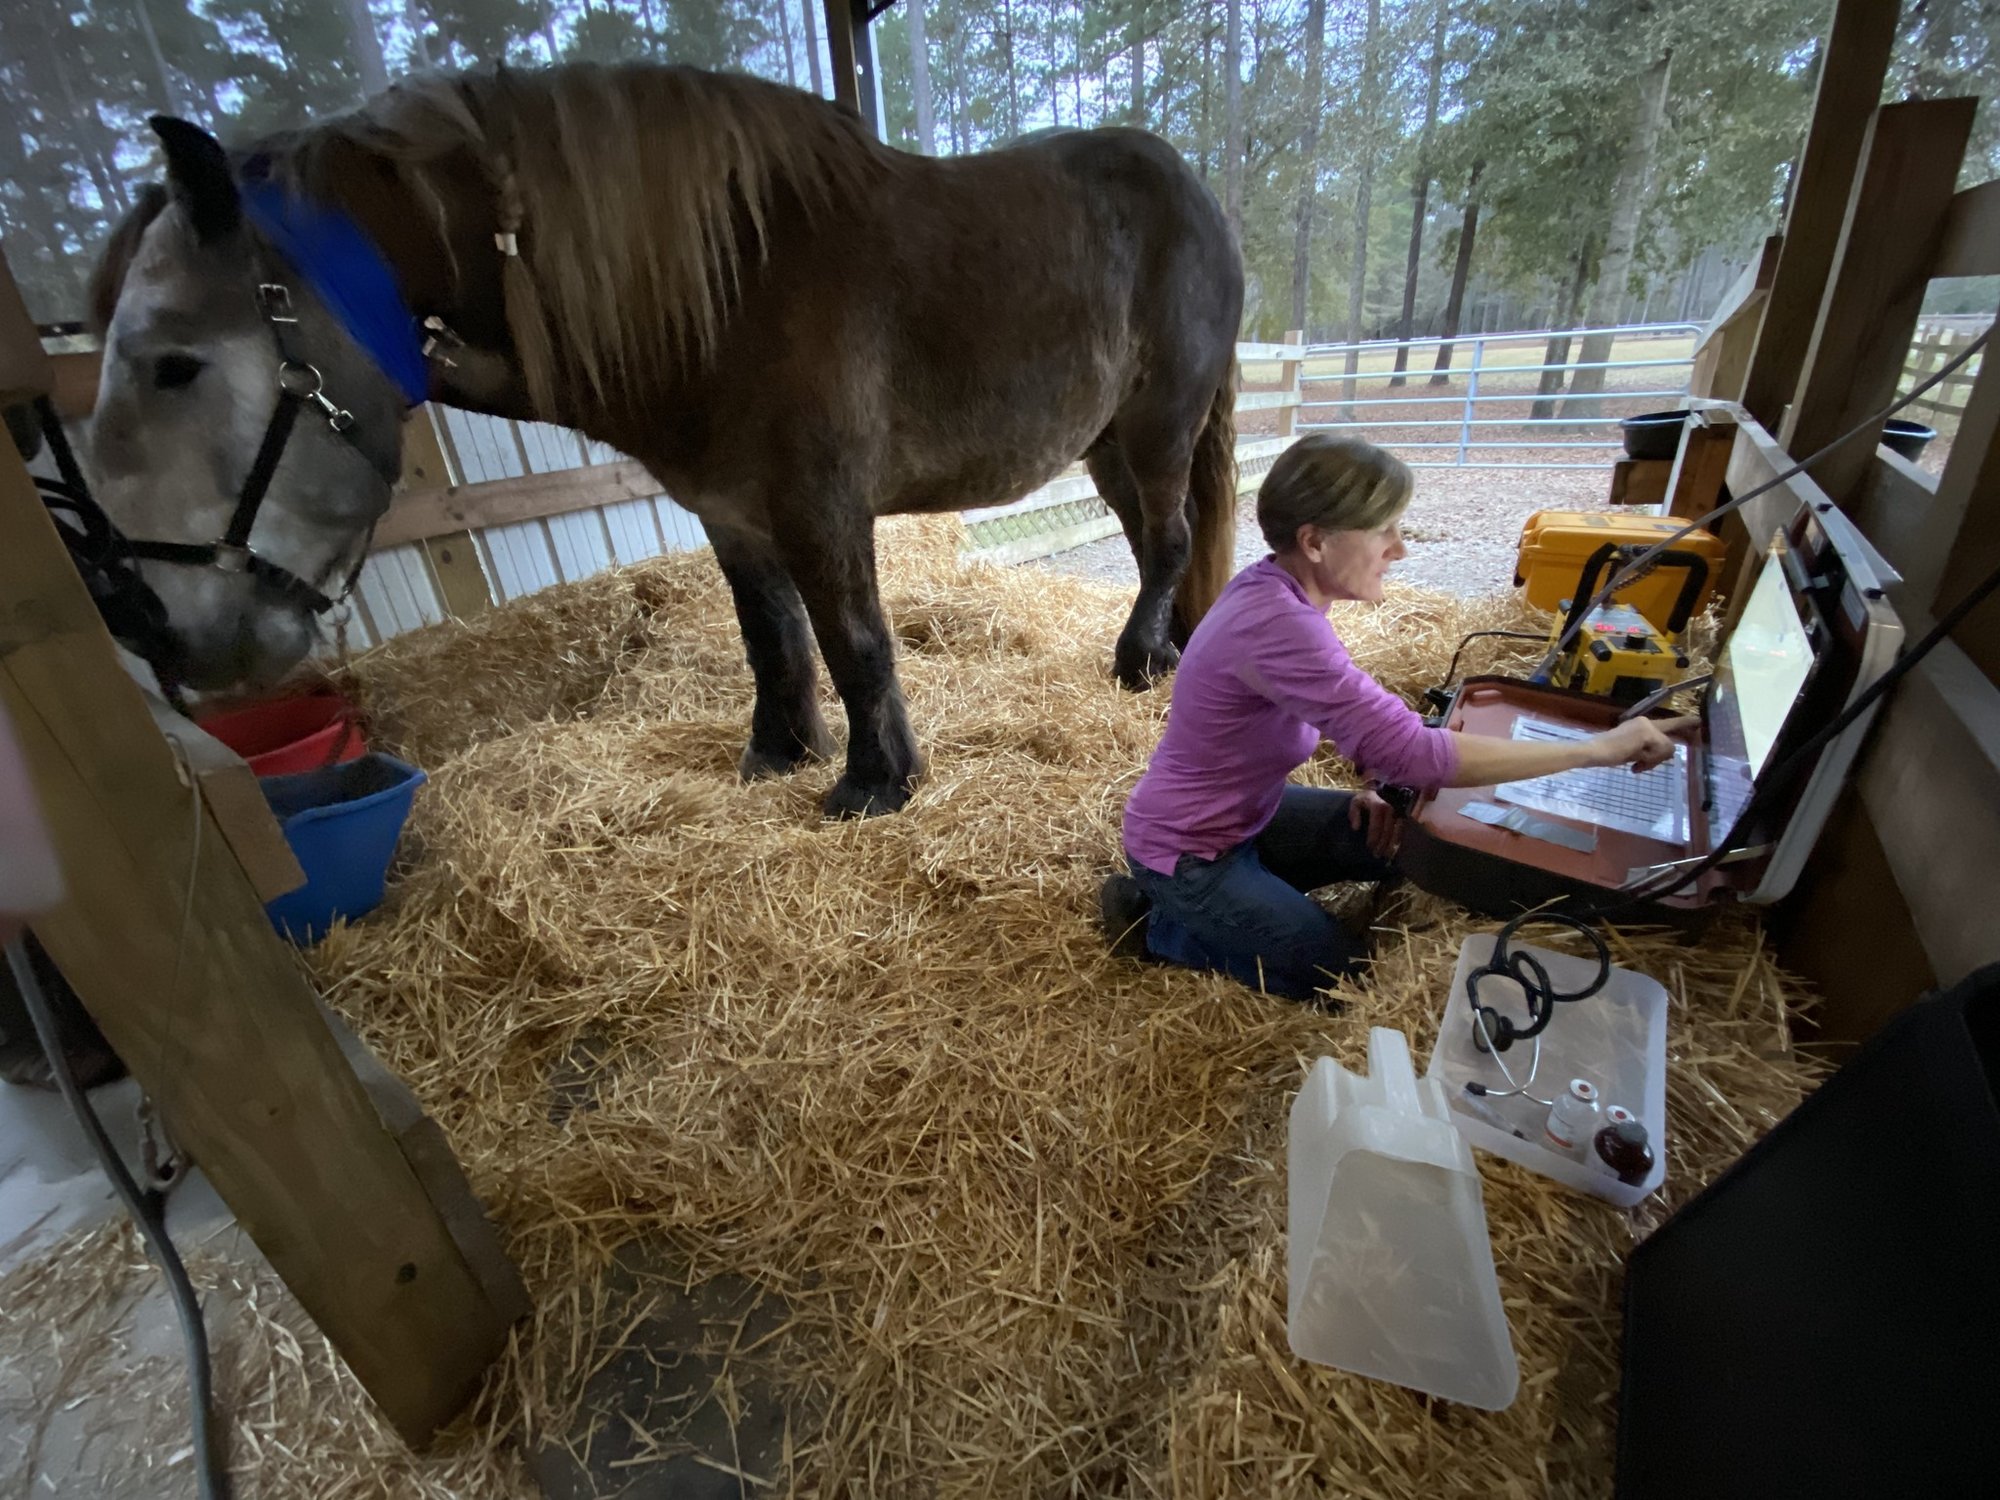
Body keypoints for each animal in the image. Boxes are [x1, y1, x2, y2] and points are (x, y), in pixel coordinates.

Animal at [97, 64, 1248, 816]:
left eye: (172, 363)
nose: (159, 629)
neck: (732, 288)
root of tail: (1194, 192)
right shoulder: (731, 511)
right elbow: (772, 641)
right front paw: (778, 753)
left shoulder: (820, 508)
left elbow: (856, 644)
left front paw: (874, 785)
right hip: (1106, 444)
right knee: (1157, 547)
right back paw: (1162, 652)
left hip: (1156, 430)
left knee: (1167, 543)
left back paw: (1137, 665)